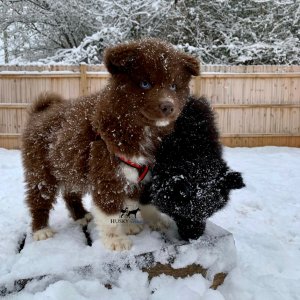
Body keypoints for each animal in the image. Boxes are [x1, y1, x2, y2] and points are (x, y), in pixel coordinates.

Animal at [22, 39, 199, 251]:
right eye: (145, 83)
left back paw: (81, 215)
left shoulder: (140, 174)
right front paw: (116, 240)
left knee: (70, 192)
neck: (141, 130)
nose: (168, 106)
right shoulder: (107, 173)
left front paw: (133, 225)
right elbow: (109, 212)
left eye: (173, 86)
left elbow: (133, 203)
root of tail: (39, 113)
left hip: (68, 164)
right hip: (41, 170)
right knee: (38, 197)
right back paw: (41, 230)